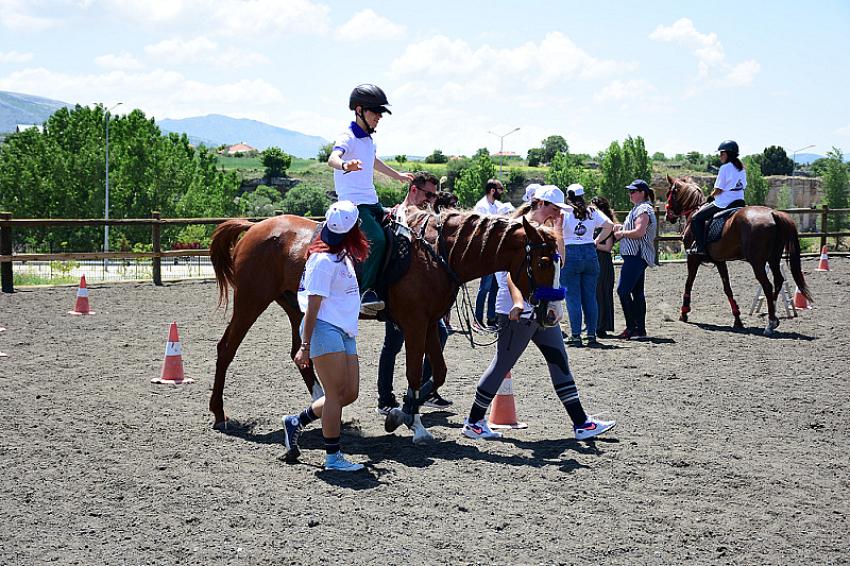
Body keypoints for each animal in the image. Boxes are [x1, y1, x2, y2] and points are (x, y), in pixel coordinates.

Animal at [208, 209, 560, 444]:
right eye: (543, 262)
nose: (551, 314)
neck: (437, 254)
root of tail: (256, 227)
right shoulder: (415, 323)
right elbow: (415, 373)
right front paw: (411, 422)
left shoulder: (429, 323)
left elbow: (439, 371)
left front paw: (402, 412)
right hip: (251, 300)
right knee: (226, 348)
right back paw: (219, 414)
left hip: (297, 307)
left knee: (300, 354)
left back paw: (321, 404)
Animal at [664, 175, 808, 336]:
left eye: (670, 193)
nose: (668, 216)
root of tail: (773, 214)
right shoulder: (720, 261)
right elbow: (727, 288)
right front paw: (737, 319)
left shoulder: (692, 259)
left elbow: (688, 283)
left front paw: (684, 312)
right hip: (773, 260)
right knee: (778, 281)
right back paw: (774, 318)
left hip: (758, 263)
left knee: (767, 285)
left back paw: (770, 324)